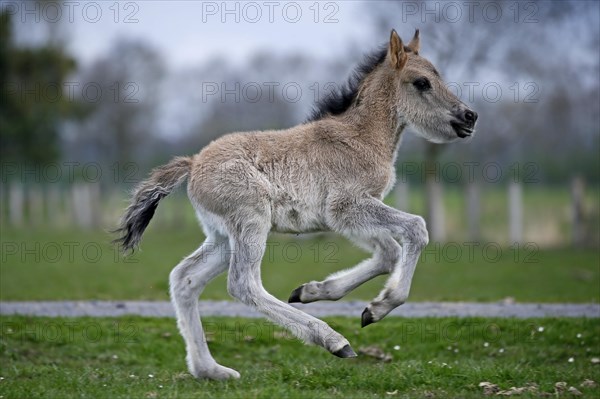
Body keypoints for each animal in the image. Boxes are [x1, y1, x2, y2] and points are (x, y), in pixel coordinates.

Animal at [113, 29, 478, 380]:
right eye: (422, 82)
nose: (469, 116)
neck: (360, 138)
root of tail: (193, 163)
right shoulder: (347, 207)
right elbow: (416, 229)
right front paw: (381, 305)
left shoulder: (348, 217)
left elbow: (388, 253)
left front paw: (316, 292)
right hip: (251, 222)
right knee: (242, 284)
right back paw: (333, 340)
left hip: (222, 237)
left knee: (185, 279)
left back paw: (211, 371)